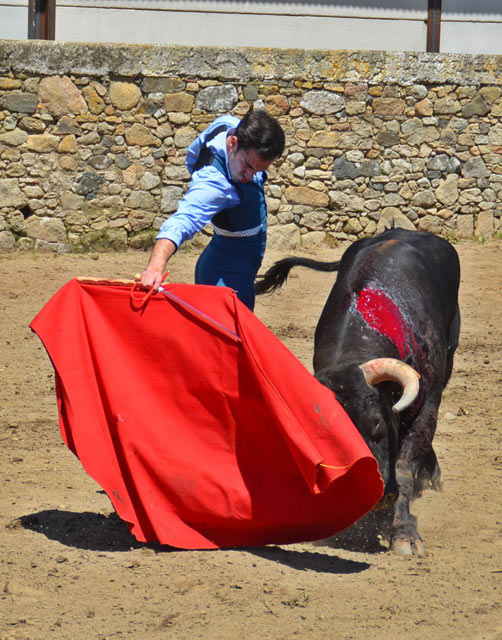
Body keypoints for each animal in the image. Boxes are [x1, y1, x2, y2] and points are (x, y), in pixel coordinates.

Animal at [256, 229, 460, 556]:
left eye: (376, 423)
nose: (377, 496)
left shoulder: (427, 404)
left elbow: (404, 468)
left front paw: (404, 534)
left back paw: (431, 476)